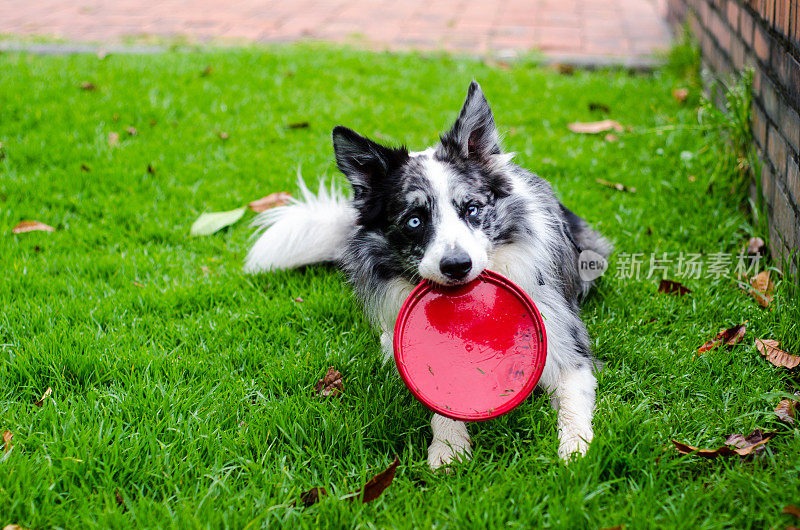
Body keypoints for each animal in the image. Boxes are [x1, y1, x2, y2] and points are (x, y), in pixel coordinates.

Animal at [247, 81, 608, 466]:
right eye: (414, 221)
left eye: (472, 209)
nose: (457, 266)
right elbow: (439, 397)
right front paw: (448, 447)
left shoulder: (564, 342)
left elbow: (572, 399)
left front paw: (575, 449)